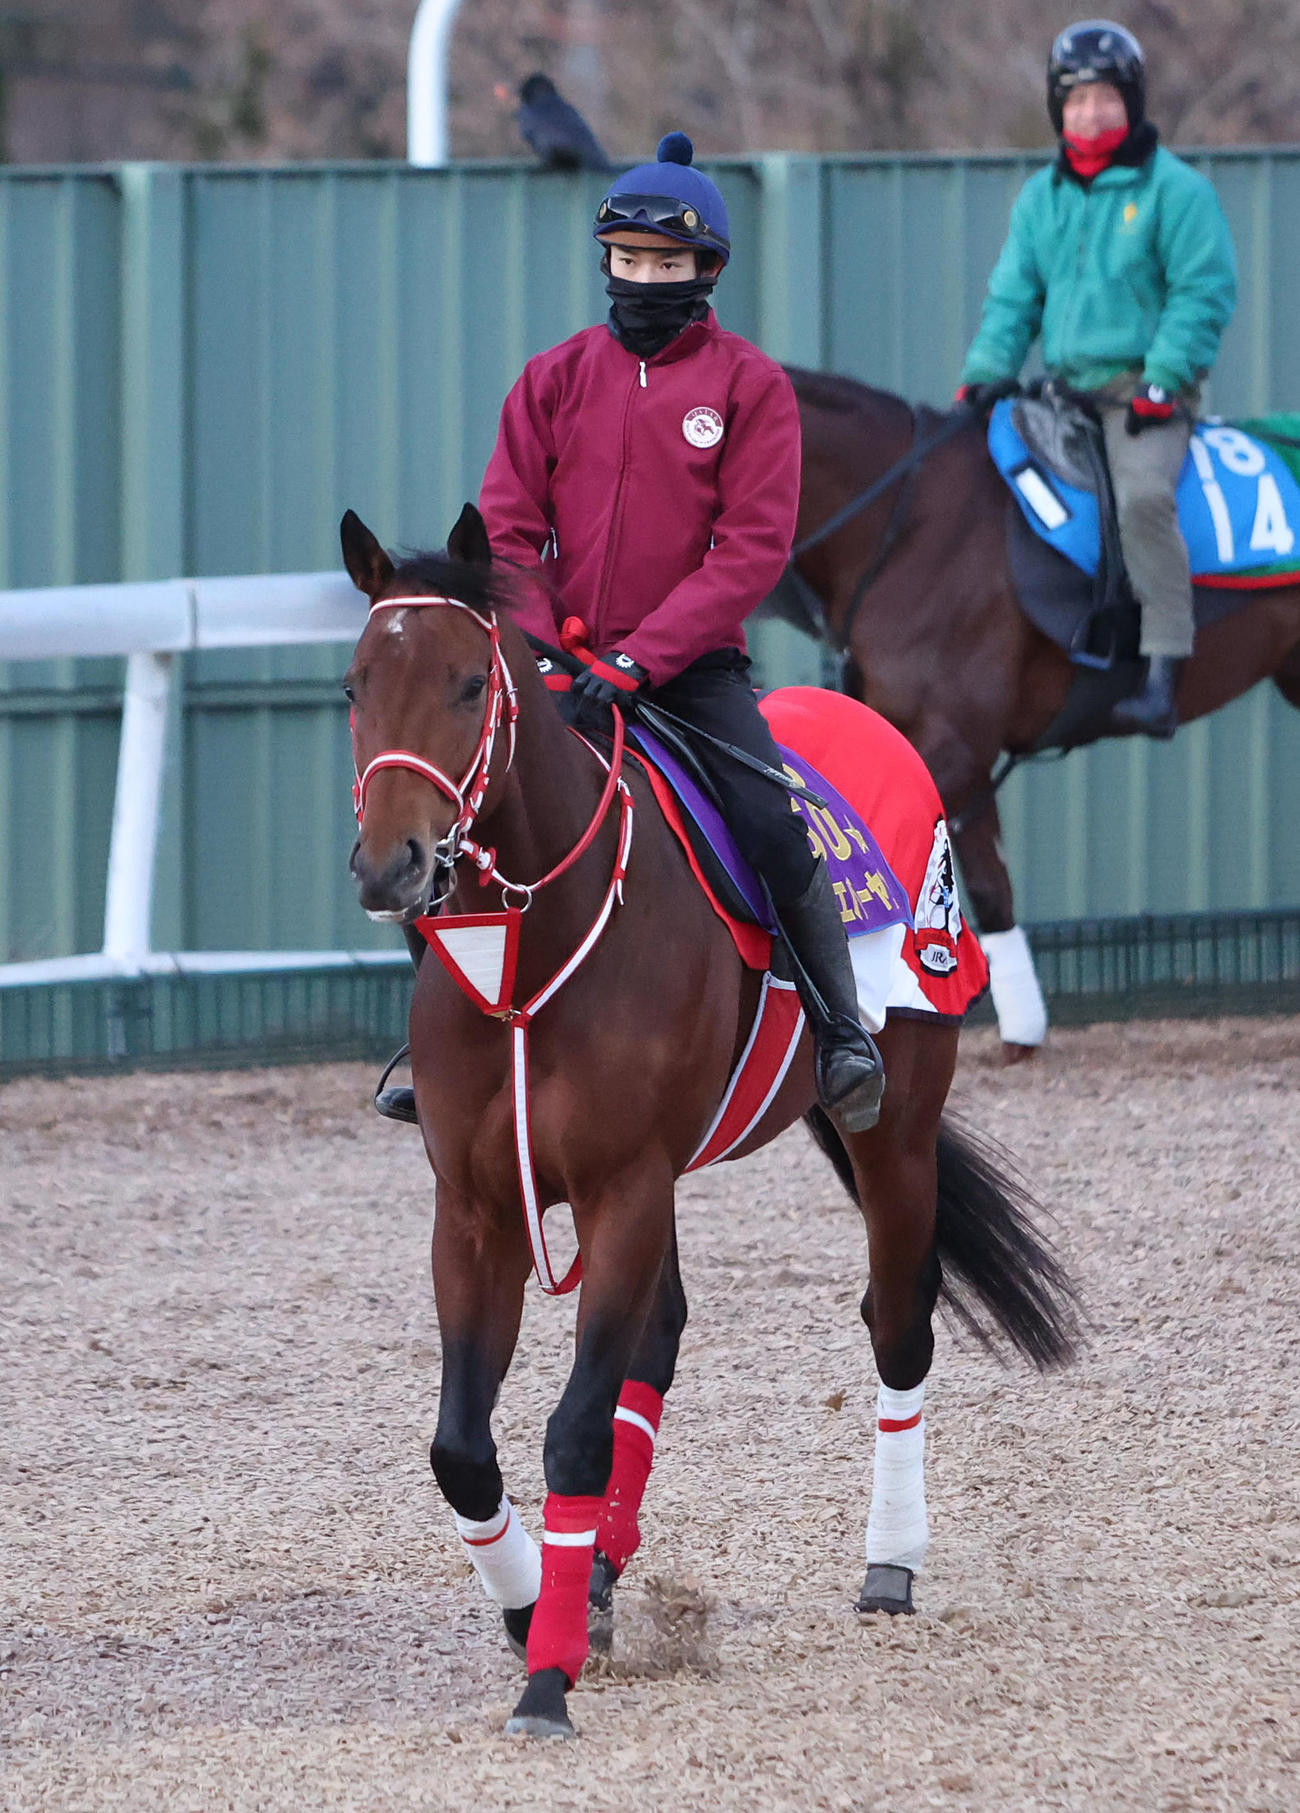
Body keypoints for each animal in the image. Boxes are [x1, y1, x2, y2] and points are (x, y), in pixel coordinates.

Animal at [340, 502, 1079, 1740]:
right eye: (355, 683)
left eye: (464, 683)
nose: (392, 864)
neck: (541, 941)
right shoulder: (482, 1209)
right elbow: (462, 1447)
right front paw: (535, 1604)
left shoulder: (625, 1186)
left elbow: (574, 1428)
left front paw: (547, 1673)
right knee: (660, 1342)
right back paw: (598, 1565)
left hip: (893, 1125)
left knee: (898, 1318)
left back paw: (889, 1563)